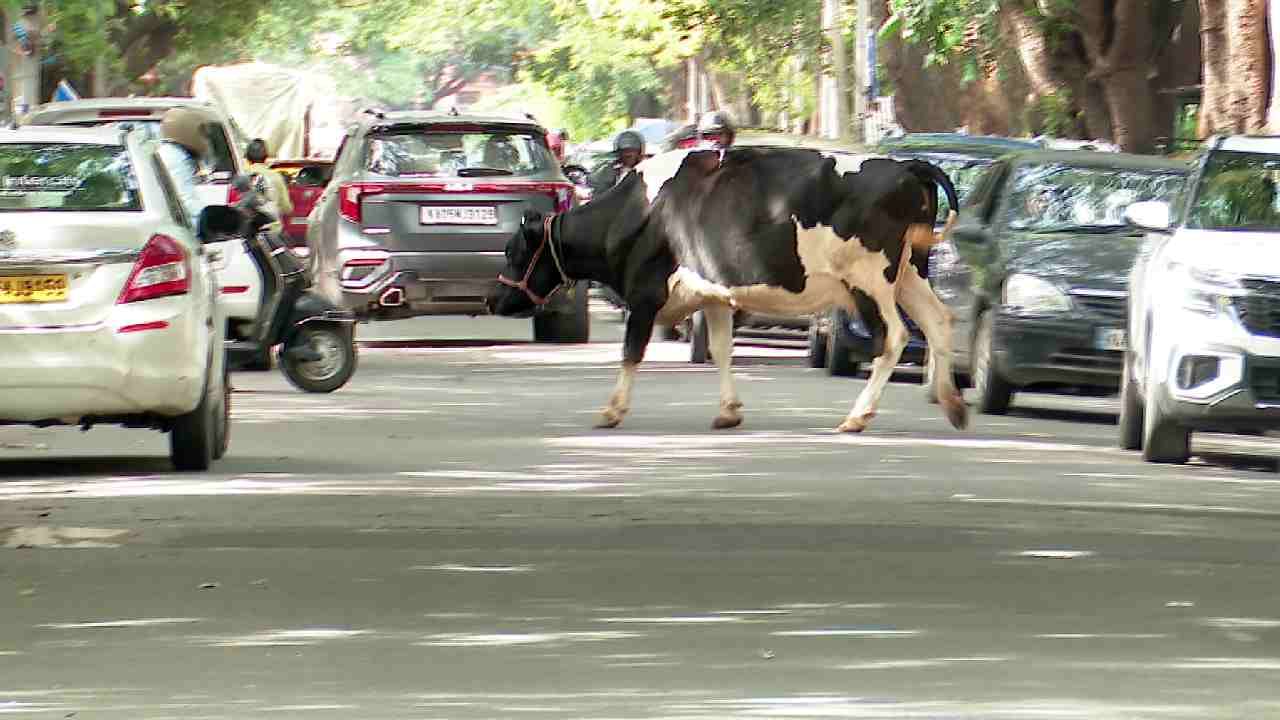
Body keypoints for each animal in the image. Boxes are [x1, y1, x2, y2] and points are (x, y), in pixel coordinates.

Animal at [483, 142, 962, 427]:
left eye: (514, 251)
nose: (493, 298)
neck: (638, 210)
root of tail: (906, 166)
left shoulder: (645, 292)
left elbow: (631, 351)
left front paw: (611, 410)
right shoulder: (714, 292)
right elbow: (721, 350)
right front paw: (729, 411)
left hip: (869, 279)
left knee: (893, 336)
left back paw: (859, 416)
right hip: (909, 273)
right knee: (939, 322)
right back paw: (953, 405)